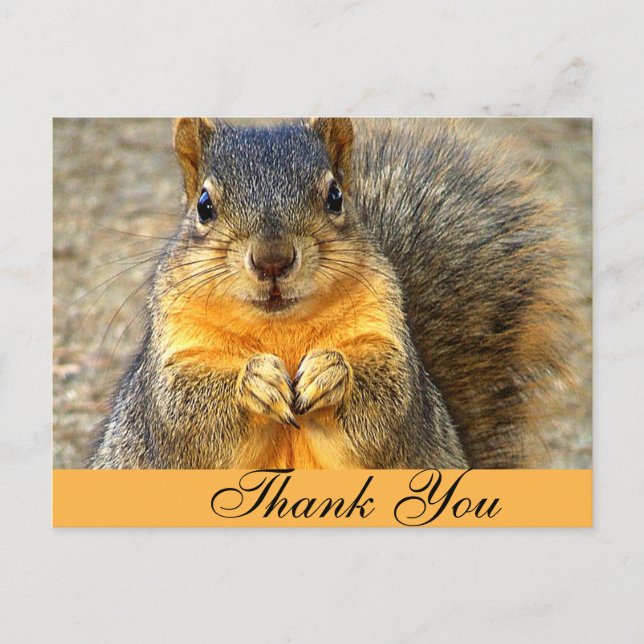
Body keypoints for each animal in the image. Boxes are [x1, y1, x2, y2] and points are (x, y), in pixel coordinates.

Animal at [90, 117, 574, 470]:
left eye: (336, 196)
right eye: (204, 206)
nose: (272, 260)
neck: (279, 327)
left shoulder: (389, 344)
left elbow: (391, 407)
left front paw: (332, 373)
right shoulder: (172, 363)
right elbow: (184, 414)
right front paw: (255, 380)